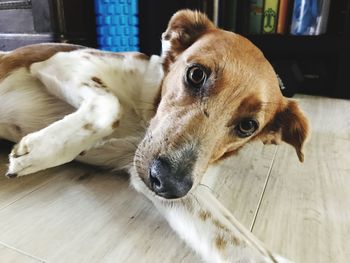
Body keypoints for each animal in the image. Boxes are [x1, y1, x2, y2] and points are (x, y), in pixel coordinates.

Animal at [0, 9, 308, 263]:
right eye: (196, 75)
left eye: (248, 125)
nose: (170, 183)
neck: (145, 112)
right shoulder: (60, 64)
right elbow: (110, 105)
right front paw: (39, 151)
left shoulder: (183, 191)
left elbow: (248, 247)